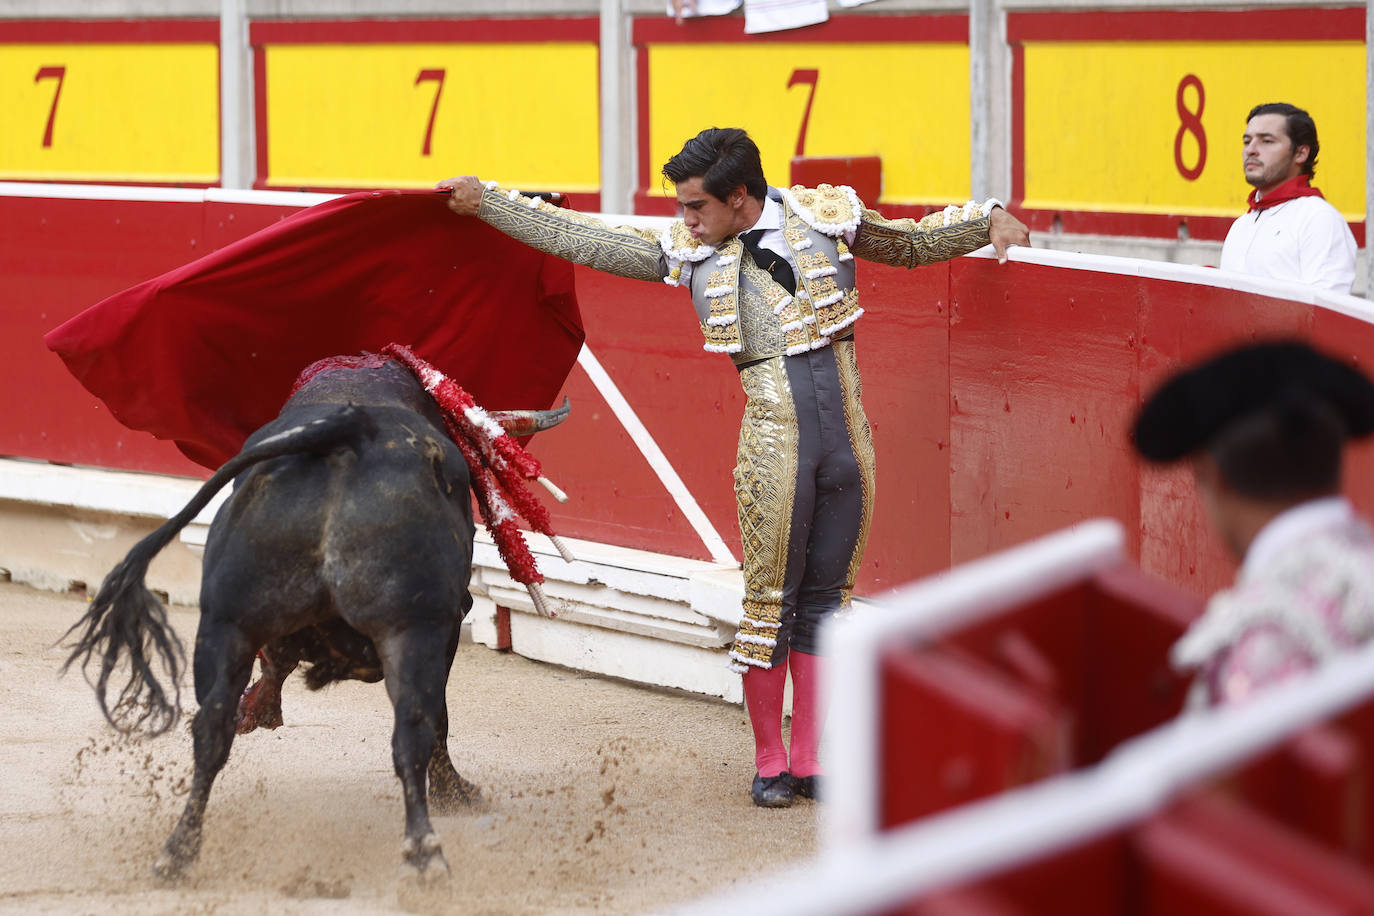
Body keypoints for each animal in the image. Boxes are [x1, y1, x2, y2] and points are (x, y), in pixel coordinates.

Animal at [63, 362, 568, 884]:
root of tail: (349, 430)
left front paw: (262, 706)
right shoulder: (446, 622)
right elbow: (440, 721)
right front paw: (456, 796)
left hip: (225, 624)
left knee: (210, 732)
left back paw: (178, 852)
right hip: (413, 628)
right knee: (413, 731)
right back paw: (425, 854)